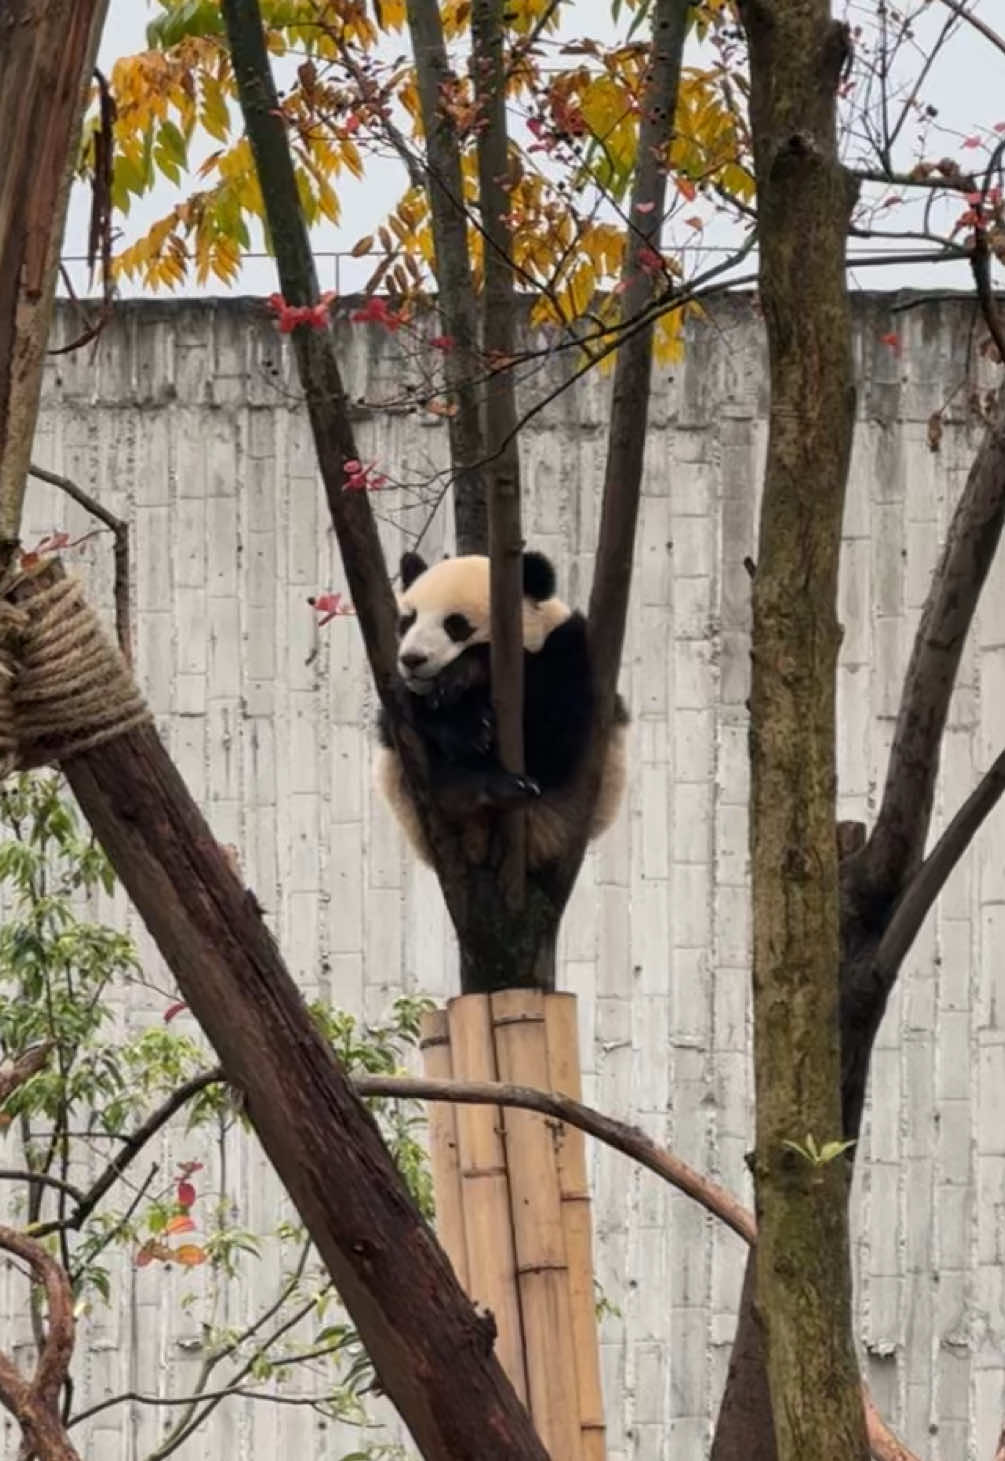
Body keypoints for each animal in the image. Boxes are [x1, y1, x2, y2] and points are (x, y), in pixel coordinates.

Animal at [374, 548, 628, 870]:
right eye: (408, 620)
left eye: (456, 625)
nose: (412, 659)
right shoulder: (402, 693)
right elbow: (408, 711)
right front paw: (467, 726)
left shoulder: (568, 652)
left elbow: (552, 734)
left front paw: (465, 670)